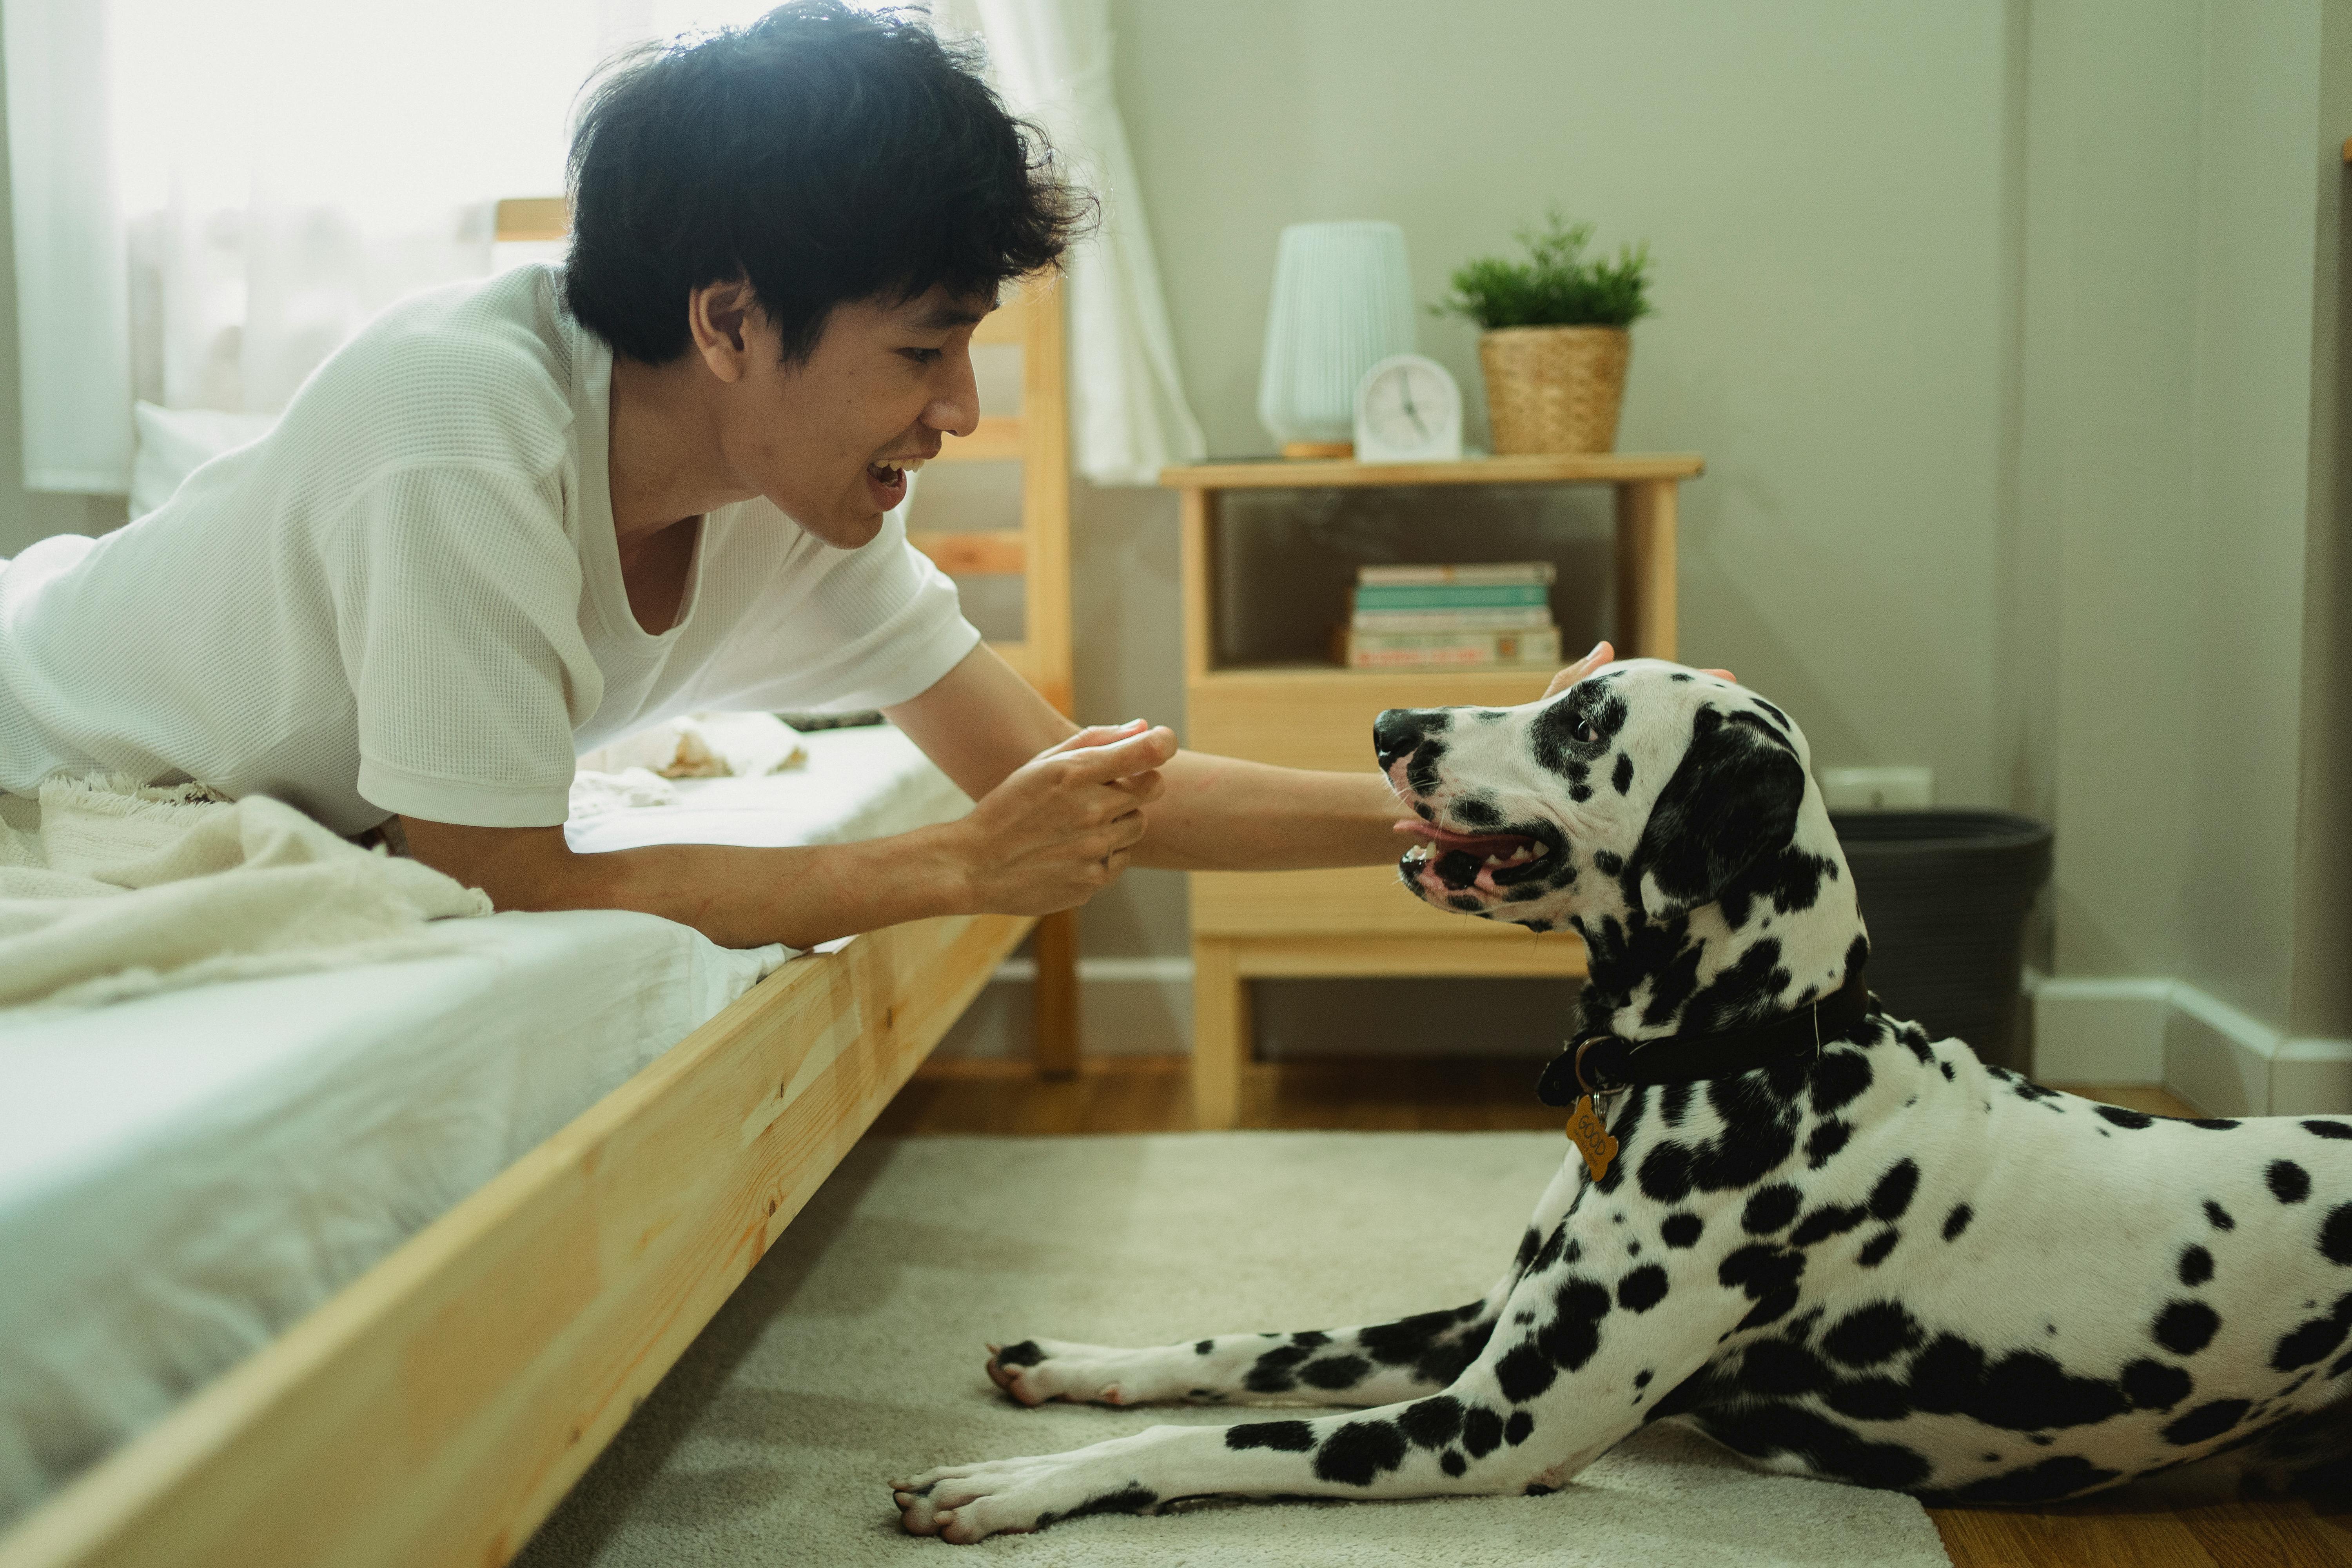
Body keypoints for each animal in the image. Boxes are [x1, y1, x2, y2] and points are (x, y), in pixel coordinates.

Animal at [884, 658, 2352, 1542]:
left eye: (1585, 725)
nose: (1388, 728)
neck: (1742, 1054)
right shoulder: (1473, 1328)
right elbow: (1238, 1347)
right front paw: (1078, 1362)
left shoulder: (1482, 1426)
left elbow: (1223, 1432)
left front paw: (1010, 1482)